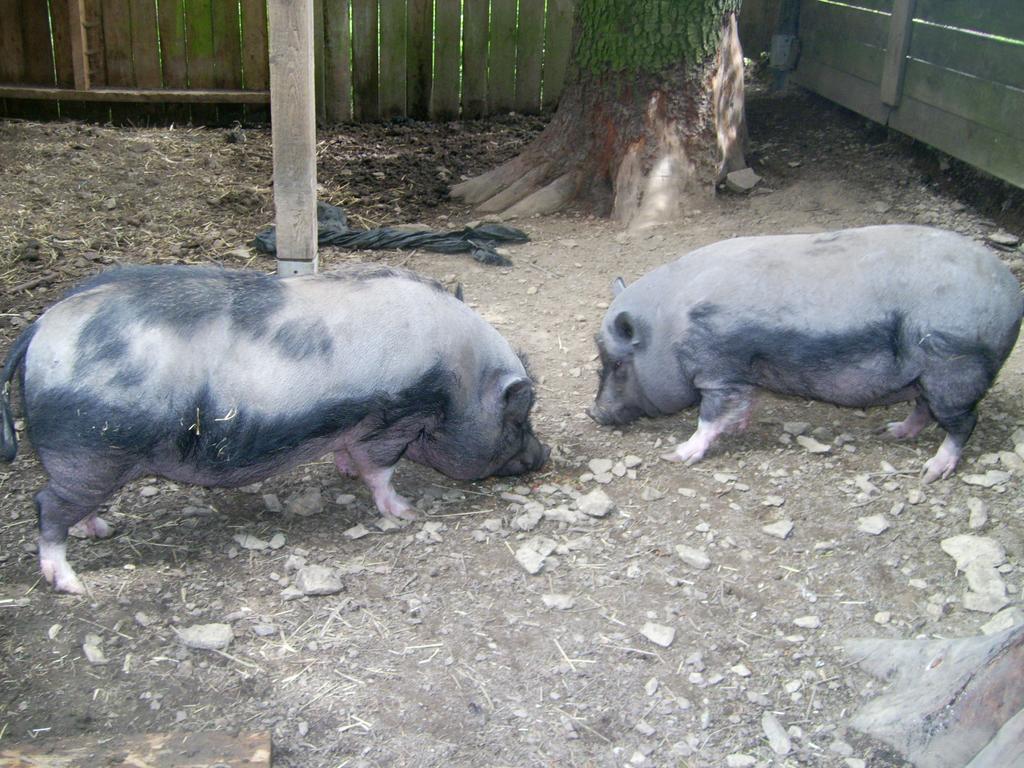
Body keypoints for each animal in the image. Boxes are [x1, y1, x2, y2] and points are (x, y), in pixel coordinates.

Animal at [2, 264, 552, 593]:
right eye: (517, 418)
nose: (544, 456)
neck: (460, 379)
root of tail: (40, 327)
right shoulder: (395, 419)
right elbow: (380, 471)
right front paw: (407, 512)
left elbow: (351, 455)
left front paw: (344, 472)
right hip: (90, 449)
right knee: (46, 506)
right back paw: (72, 582)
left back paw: (100, 530)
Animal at [593, 224, 1024, 481]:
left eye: (618, 363)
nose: (593, 413)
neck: (668, 330)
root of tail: (1010, 292)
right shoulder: (739, 375)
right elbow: (742, 404)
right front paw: (741, 428)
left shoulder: (717, 369)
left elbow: (710, 417)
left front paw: (678, 455)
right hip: (928, 375)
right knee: (923, 408)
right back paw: (892, 432)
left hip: (954, 370)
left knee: (964, 423)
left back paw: (932, 470)